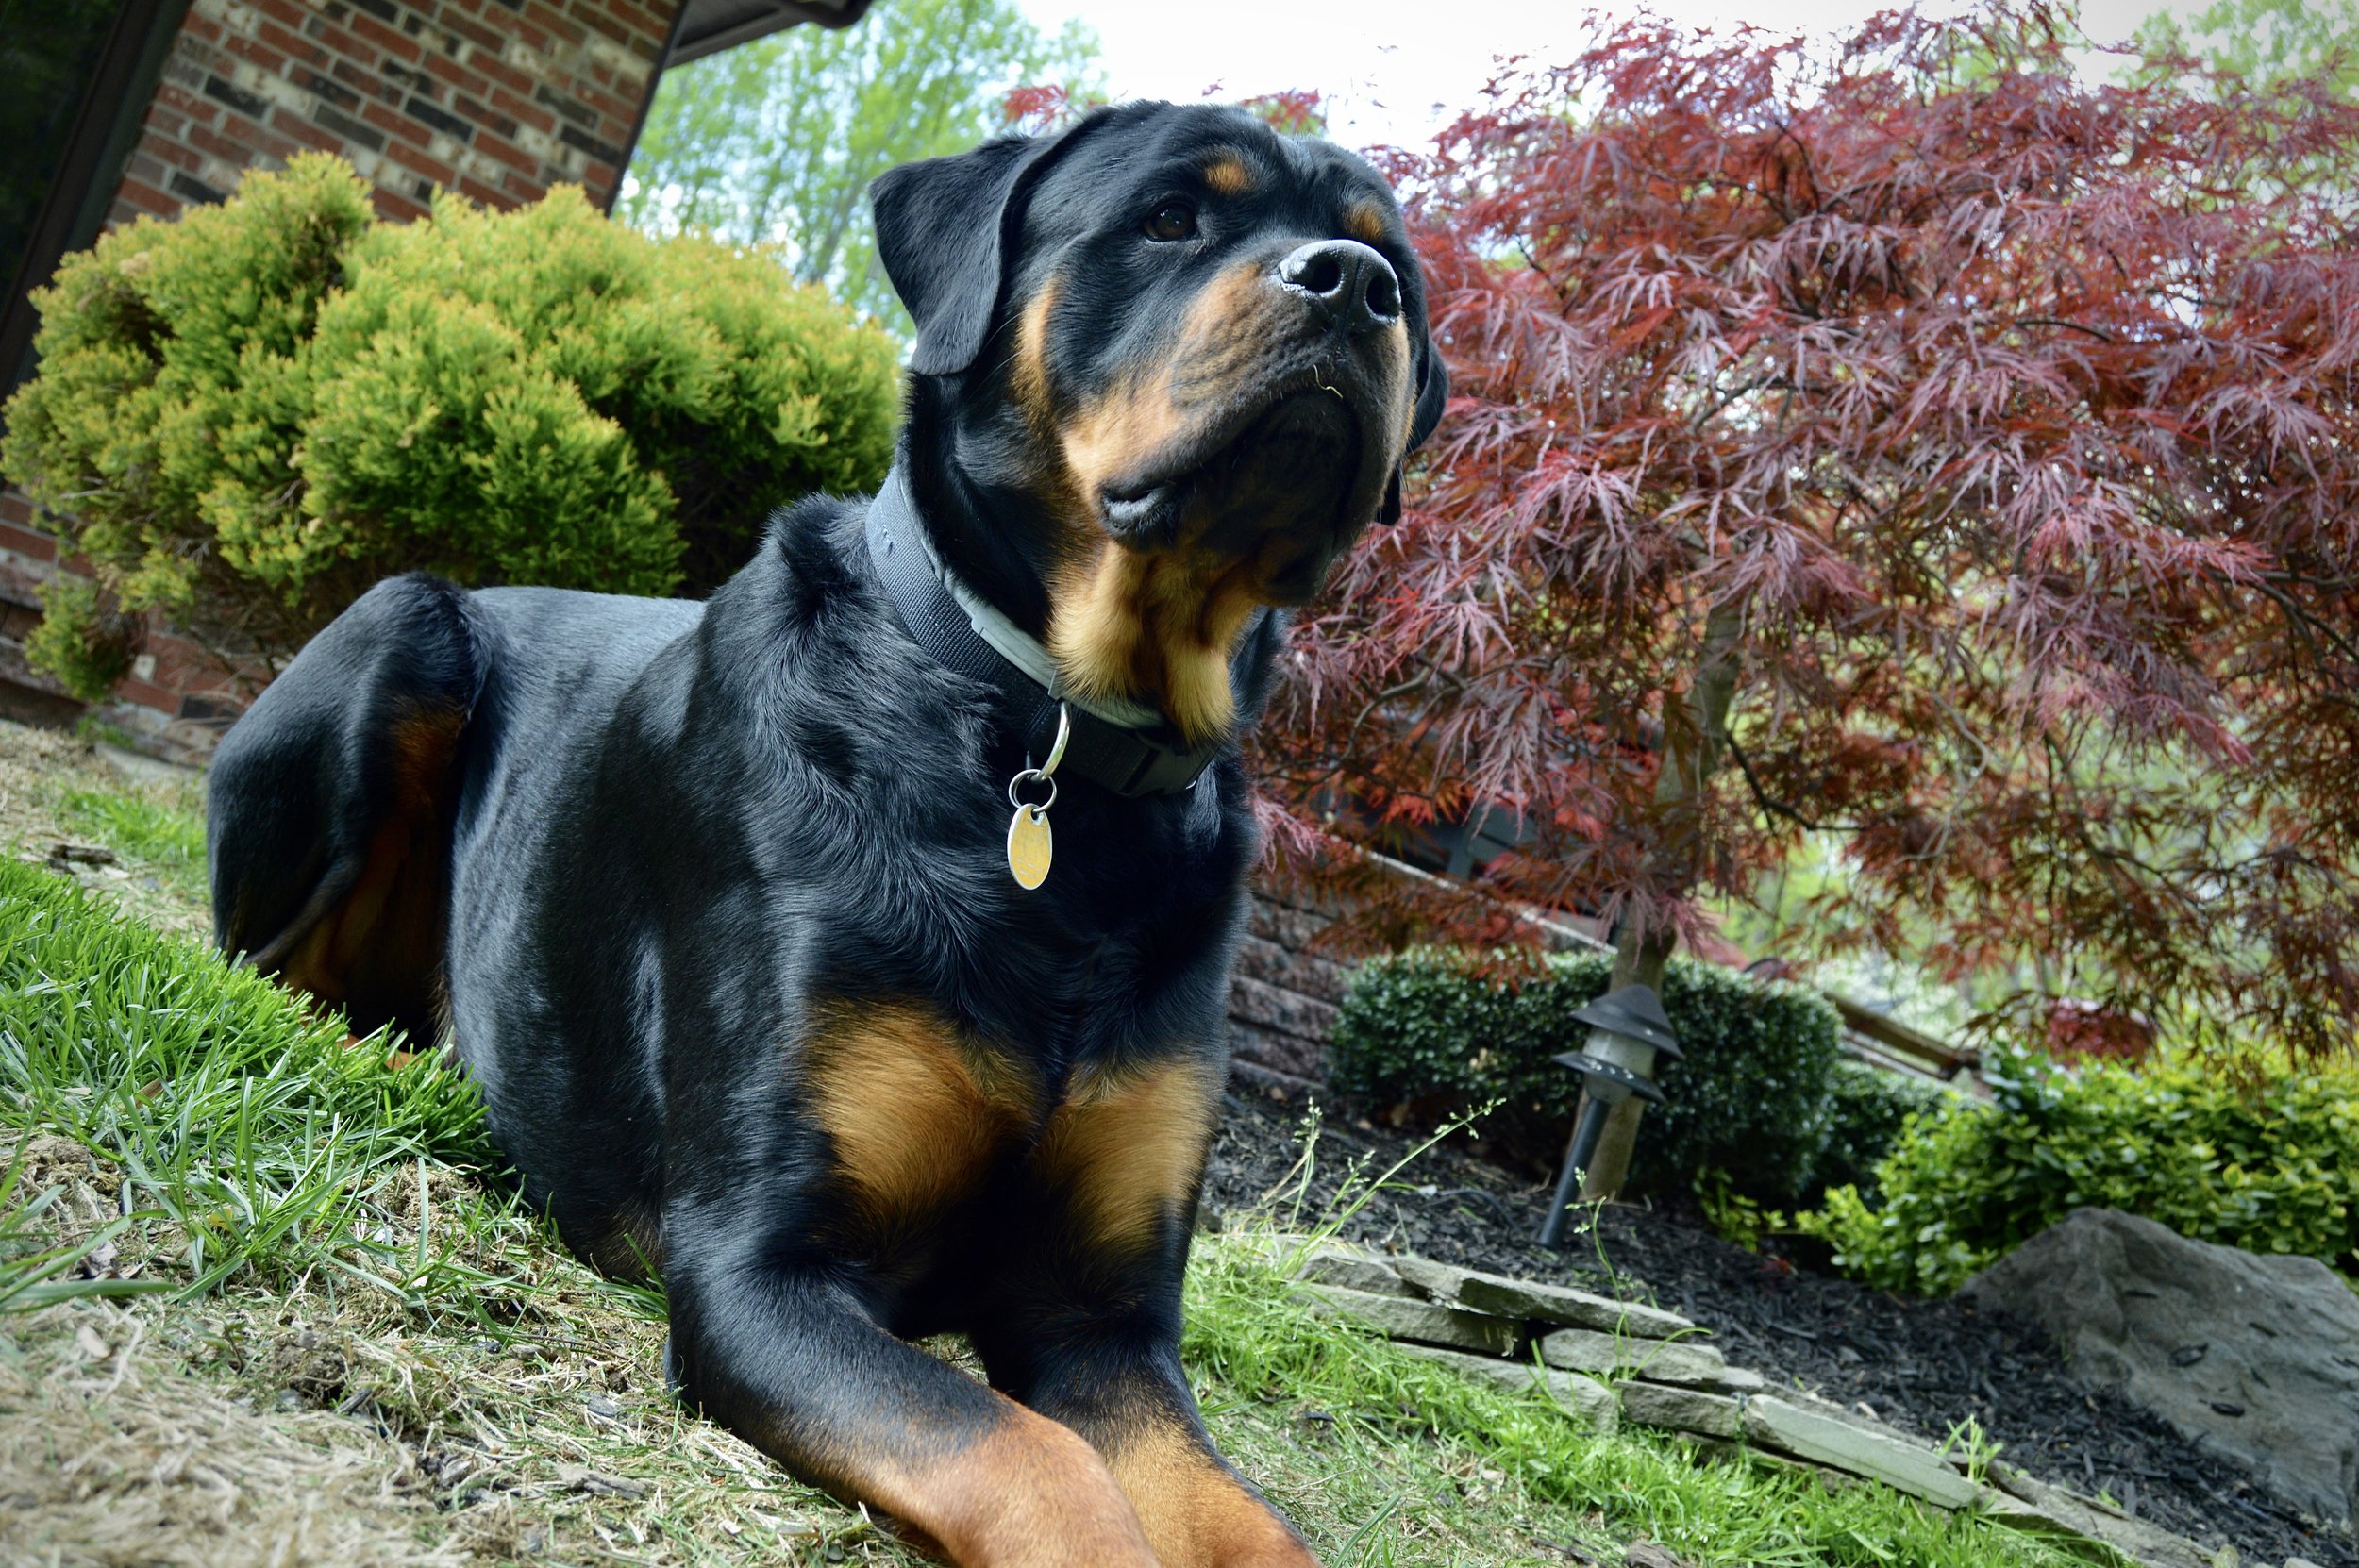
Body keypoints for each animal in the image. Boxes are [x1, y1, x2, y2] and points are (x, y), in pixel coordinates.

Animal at [207, 100, 1446, 1566]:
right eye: (1168, 218)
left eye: (1396, 271)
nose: (1354, 288)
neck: (1046, 748)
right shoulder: (761, 1268)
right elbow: (1033, 1461)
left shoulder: (1107, 1325)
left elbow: (1240, 1516)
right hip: (403, 628)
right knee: (266, 971)